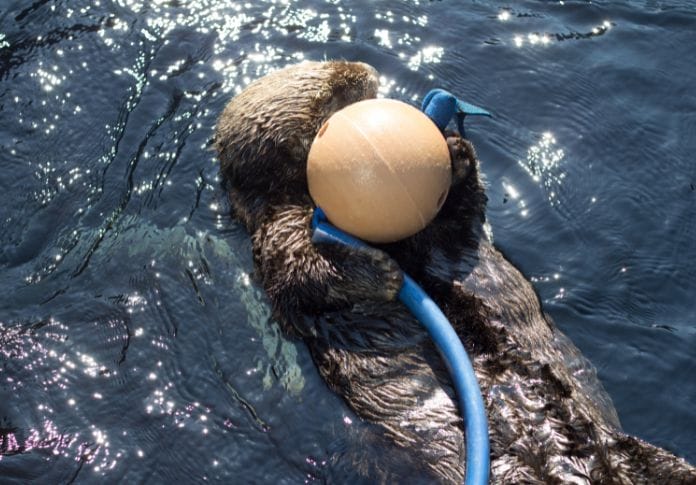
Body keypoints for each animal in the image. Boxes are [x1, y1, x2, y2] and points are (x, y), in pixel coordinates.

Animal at [215, 61, 696, 483]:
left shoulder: (442, 238)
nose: (366, 70)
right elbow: (302, 276)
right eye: (334, 91)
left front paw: (457, 151)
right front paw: (381, 273)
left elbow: (458, 219)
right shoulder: (277, 236)